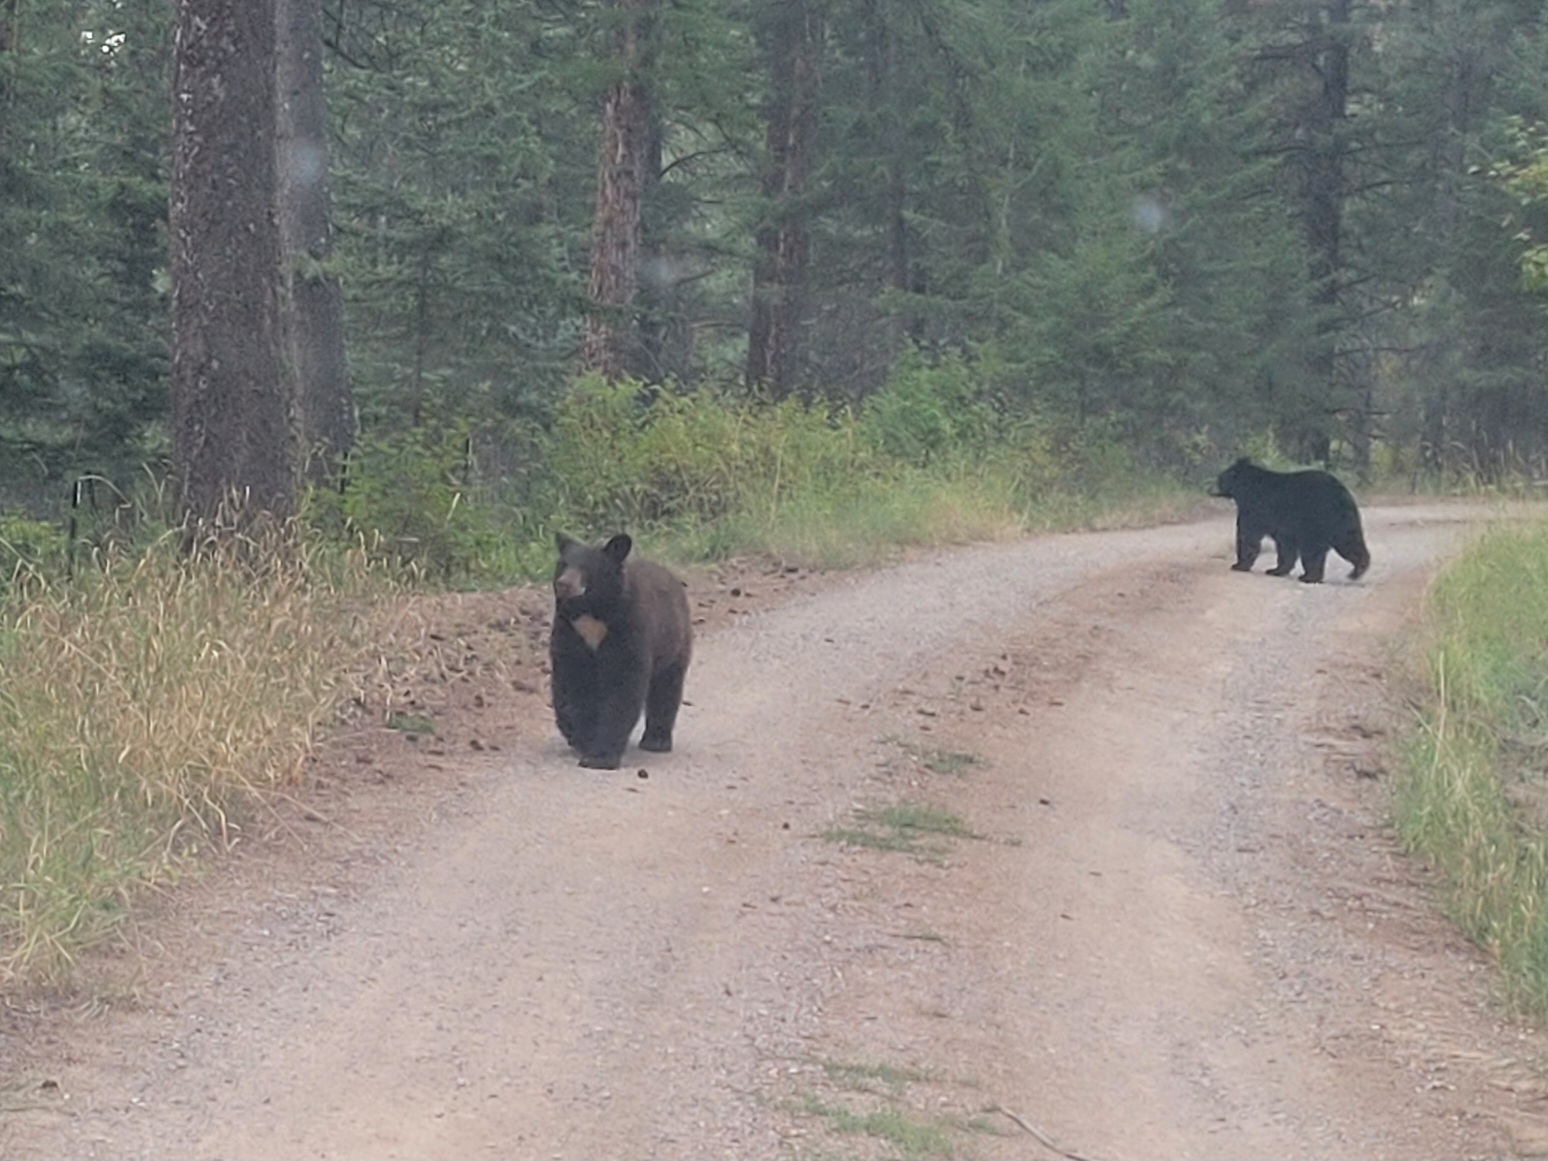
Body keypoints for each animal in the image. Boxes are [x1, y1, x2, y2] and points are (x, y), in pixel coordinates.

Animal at [549, 532, 693, 769]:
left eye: (587, 566)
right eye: (563, 564)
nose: (564, 584)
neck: (592, 612)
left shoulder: (630, 627)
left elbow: (623, 685)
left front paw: (599, 756)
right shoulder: (568, 632)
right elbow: (572, 684)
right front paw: (582, 738)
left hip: (674, 644)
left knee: (666, 688)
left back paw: (656, 741)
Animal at [1211, 457, 1371, 584]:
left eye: (1221, 478)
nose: (1214, 485)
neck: (1246, 489)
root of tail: (1341, 492)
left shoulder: (1256, 510)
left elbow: (1248, 535)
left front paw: (1239, 565)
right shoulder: (1284, 527)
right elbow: (1286, 547)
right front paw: (1276, 570)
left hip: (1315, 521)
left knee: (1313, 550)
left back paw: (1309, 576)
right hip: (1344, 522)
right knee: (1350, 543)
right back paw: (1357, 571)